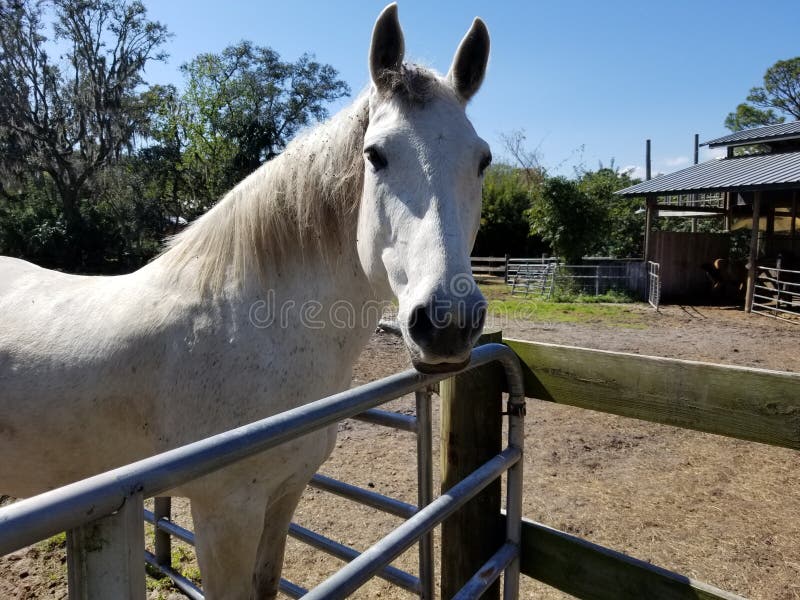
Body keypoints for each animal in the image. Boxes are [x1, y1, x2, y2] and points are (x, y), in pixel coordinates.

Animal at [0, 4, 491, 598]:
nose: (448, 322)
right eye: (376, 156)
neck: (255, 329)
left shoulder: (284, 495)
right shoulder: (225, 516)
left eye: (482, 160)